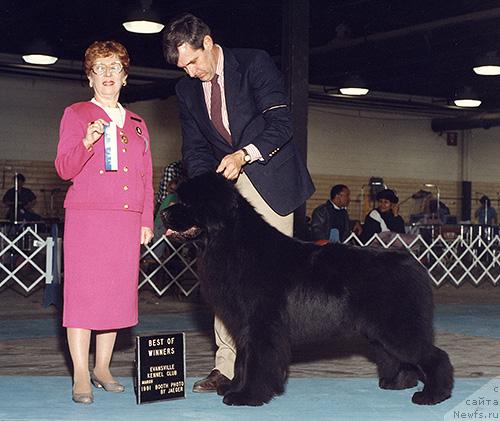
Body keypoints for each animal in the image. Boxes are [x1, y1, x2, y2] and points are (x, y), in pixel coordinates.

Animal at [162, 172, 456, 406]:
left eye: (187, 203)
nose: (164, 213)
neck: (231, 243)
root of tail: (412, 264)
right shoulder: (245, 326)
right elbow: (242, 361)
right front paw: (233, 387)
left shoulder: (262, 325)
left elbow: (257, 361)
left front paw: (247, 396)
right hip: (381, 331)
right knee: (399, 356)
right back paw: (398, 382)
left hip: (397, 326)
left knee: (434, 356)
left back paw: (432, 395)